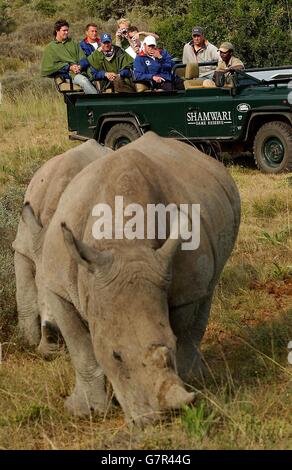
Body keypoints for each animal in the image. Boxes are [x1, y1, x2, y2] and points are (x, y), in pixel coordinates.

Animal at [34, 130, 240, 424]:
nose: (157, 419)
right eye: (116, 355)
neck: (122, 242)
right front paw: (86, 412)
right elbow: (81, 349)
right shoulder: (58, 286)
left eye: (170, 345)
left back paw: (196, 377)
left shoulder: (180, 284)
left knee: (208, 289)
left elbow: (182, 327)